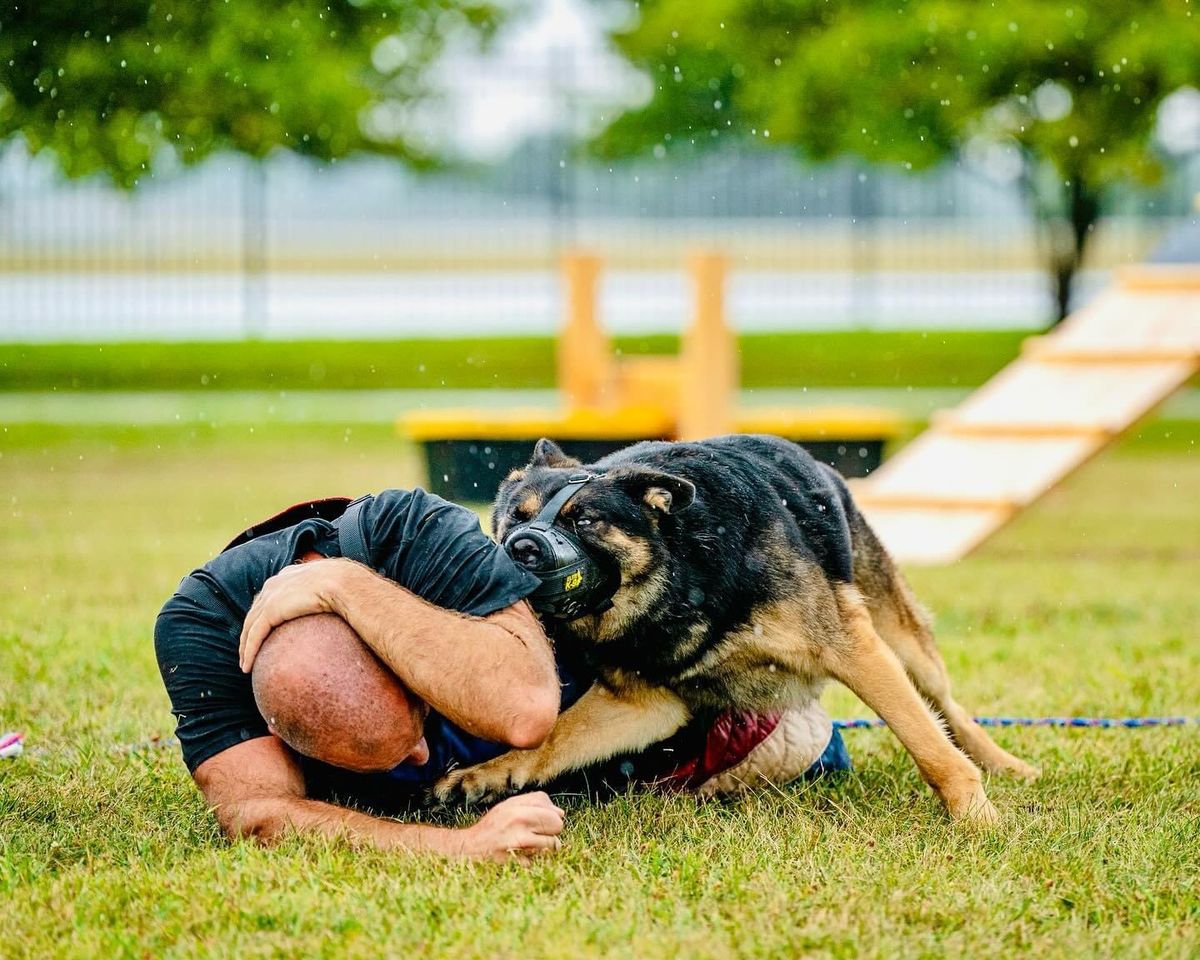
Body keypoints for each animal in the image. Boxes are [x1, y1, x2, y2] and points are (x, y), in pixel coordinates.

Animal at [436, 439, 1036, 820]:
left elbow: (926, 744)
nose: (521, 548)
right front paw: (491, 771)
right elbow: (554, 737)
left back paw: (1006, 766)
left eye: (584, 520)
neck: (680, 576)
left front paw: (977, 818)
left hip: (901, 642)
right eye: (514, 518)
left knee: (944, 707)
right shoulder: (642, 705)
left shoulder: (853, 650)